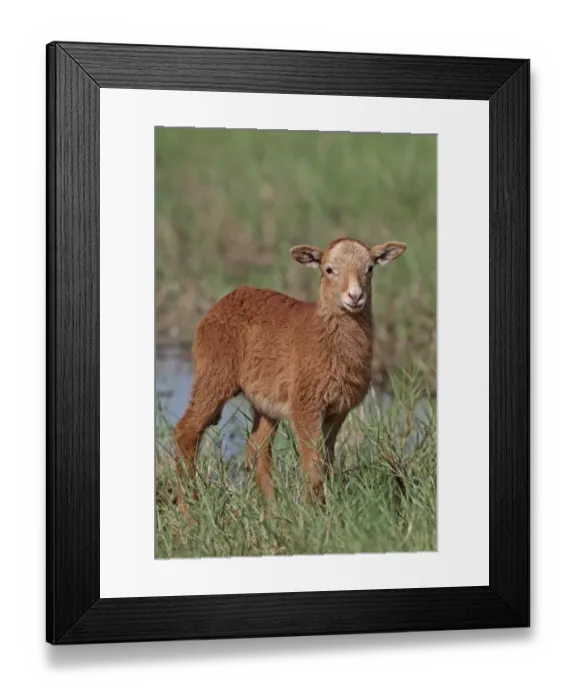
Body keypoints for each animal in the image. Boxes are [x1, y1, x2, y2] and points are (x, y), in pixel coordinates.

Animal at [173, 237, 406, 511]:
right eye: (328, 269)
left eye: (370, 268)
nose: (355, 296)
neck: (324, 335)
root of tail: (226, 299)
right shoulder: (304, 405)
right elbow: (312, 461)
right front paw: (313, 513)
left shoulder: (338, 409)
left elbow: (326, 458)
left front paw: (320, 508)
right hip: (213, 374)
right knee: (186, 432)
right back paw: (190, 509)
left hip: (264, 401)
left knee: (257, 448)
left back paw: (271, 512)